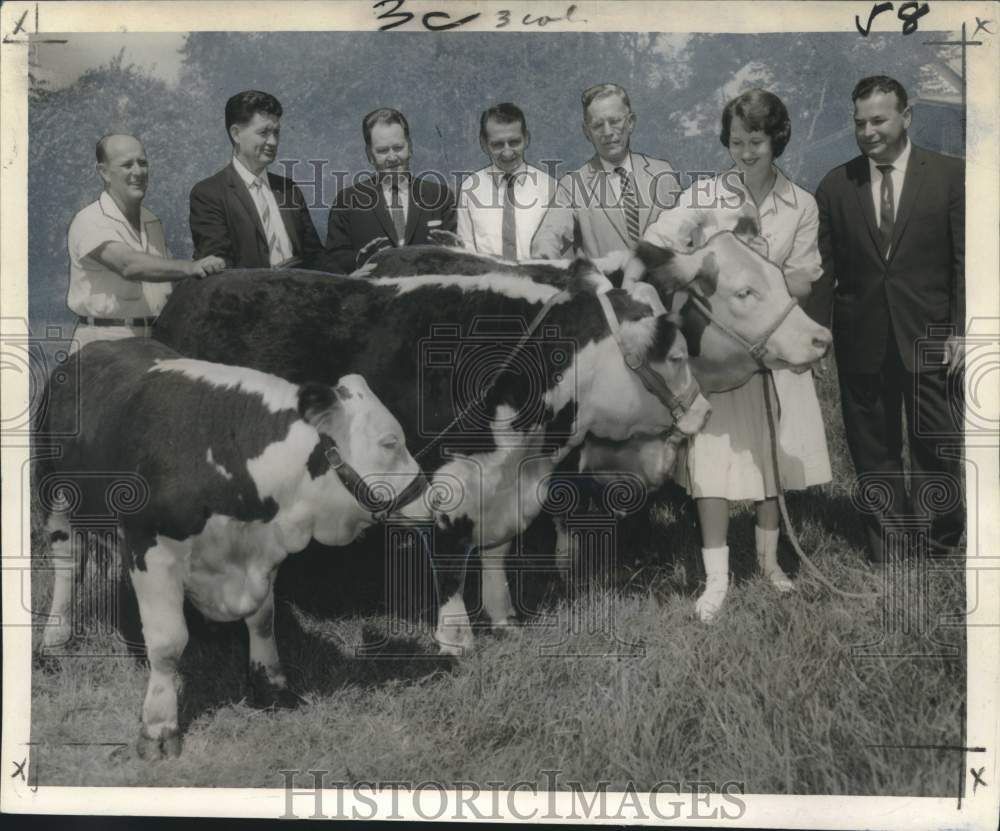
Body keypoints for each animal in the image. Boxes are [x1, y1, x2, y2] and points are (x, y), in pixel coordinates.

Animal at [36, 340, 422, 760]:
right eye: (389, 443)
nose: (433, 496)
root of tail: (97, 345)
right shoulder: (150, 546)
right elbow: (168, 642)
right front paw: (159, 726)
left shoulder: (263, 553)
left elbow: (263, 619)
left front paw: (271, 685)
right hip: (54, 494)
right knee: (68, 564)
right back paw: (54, 639)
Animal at [154, 260, 712, 656]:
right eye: (677, 356)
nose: (704, 412)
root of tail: (185, 293)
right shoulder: (449, 480)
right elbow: (451, 557)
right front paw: (455, 637)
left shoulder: (502, 483)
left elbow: (495, 553)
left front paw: (503, 618)